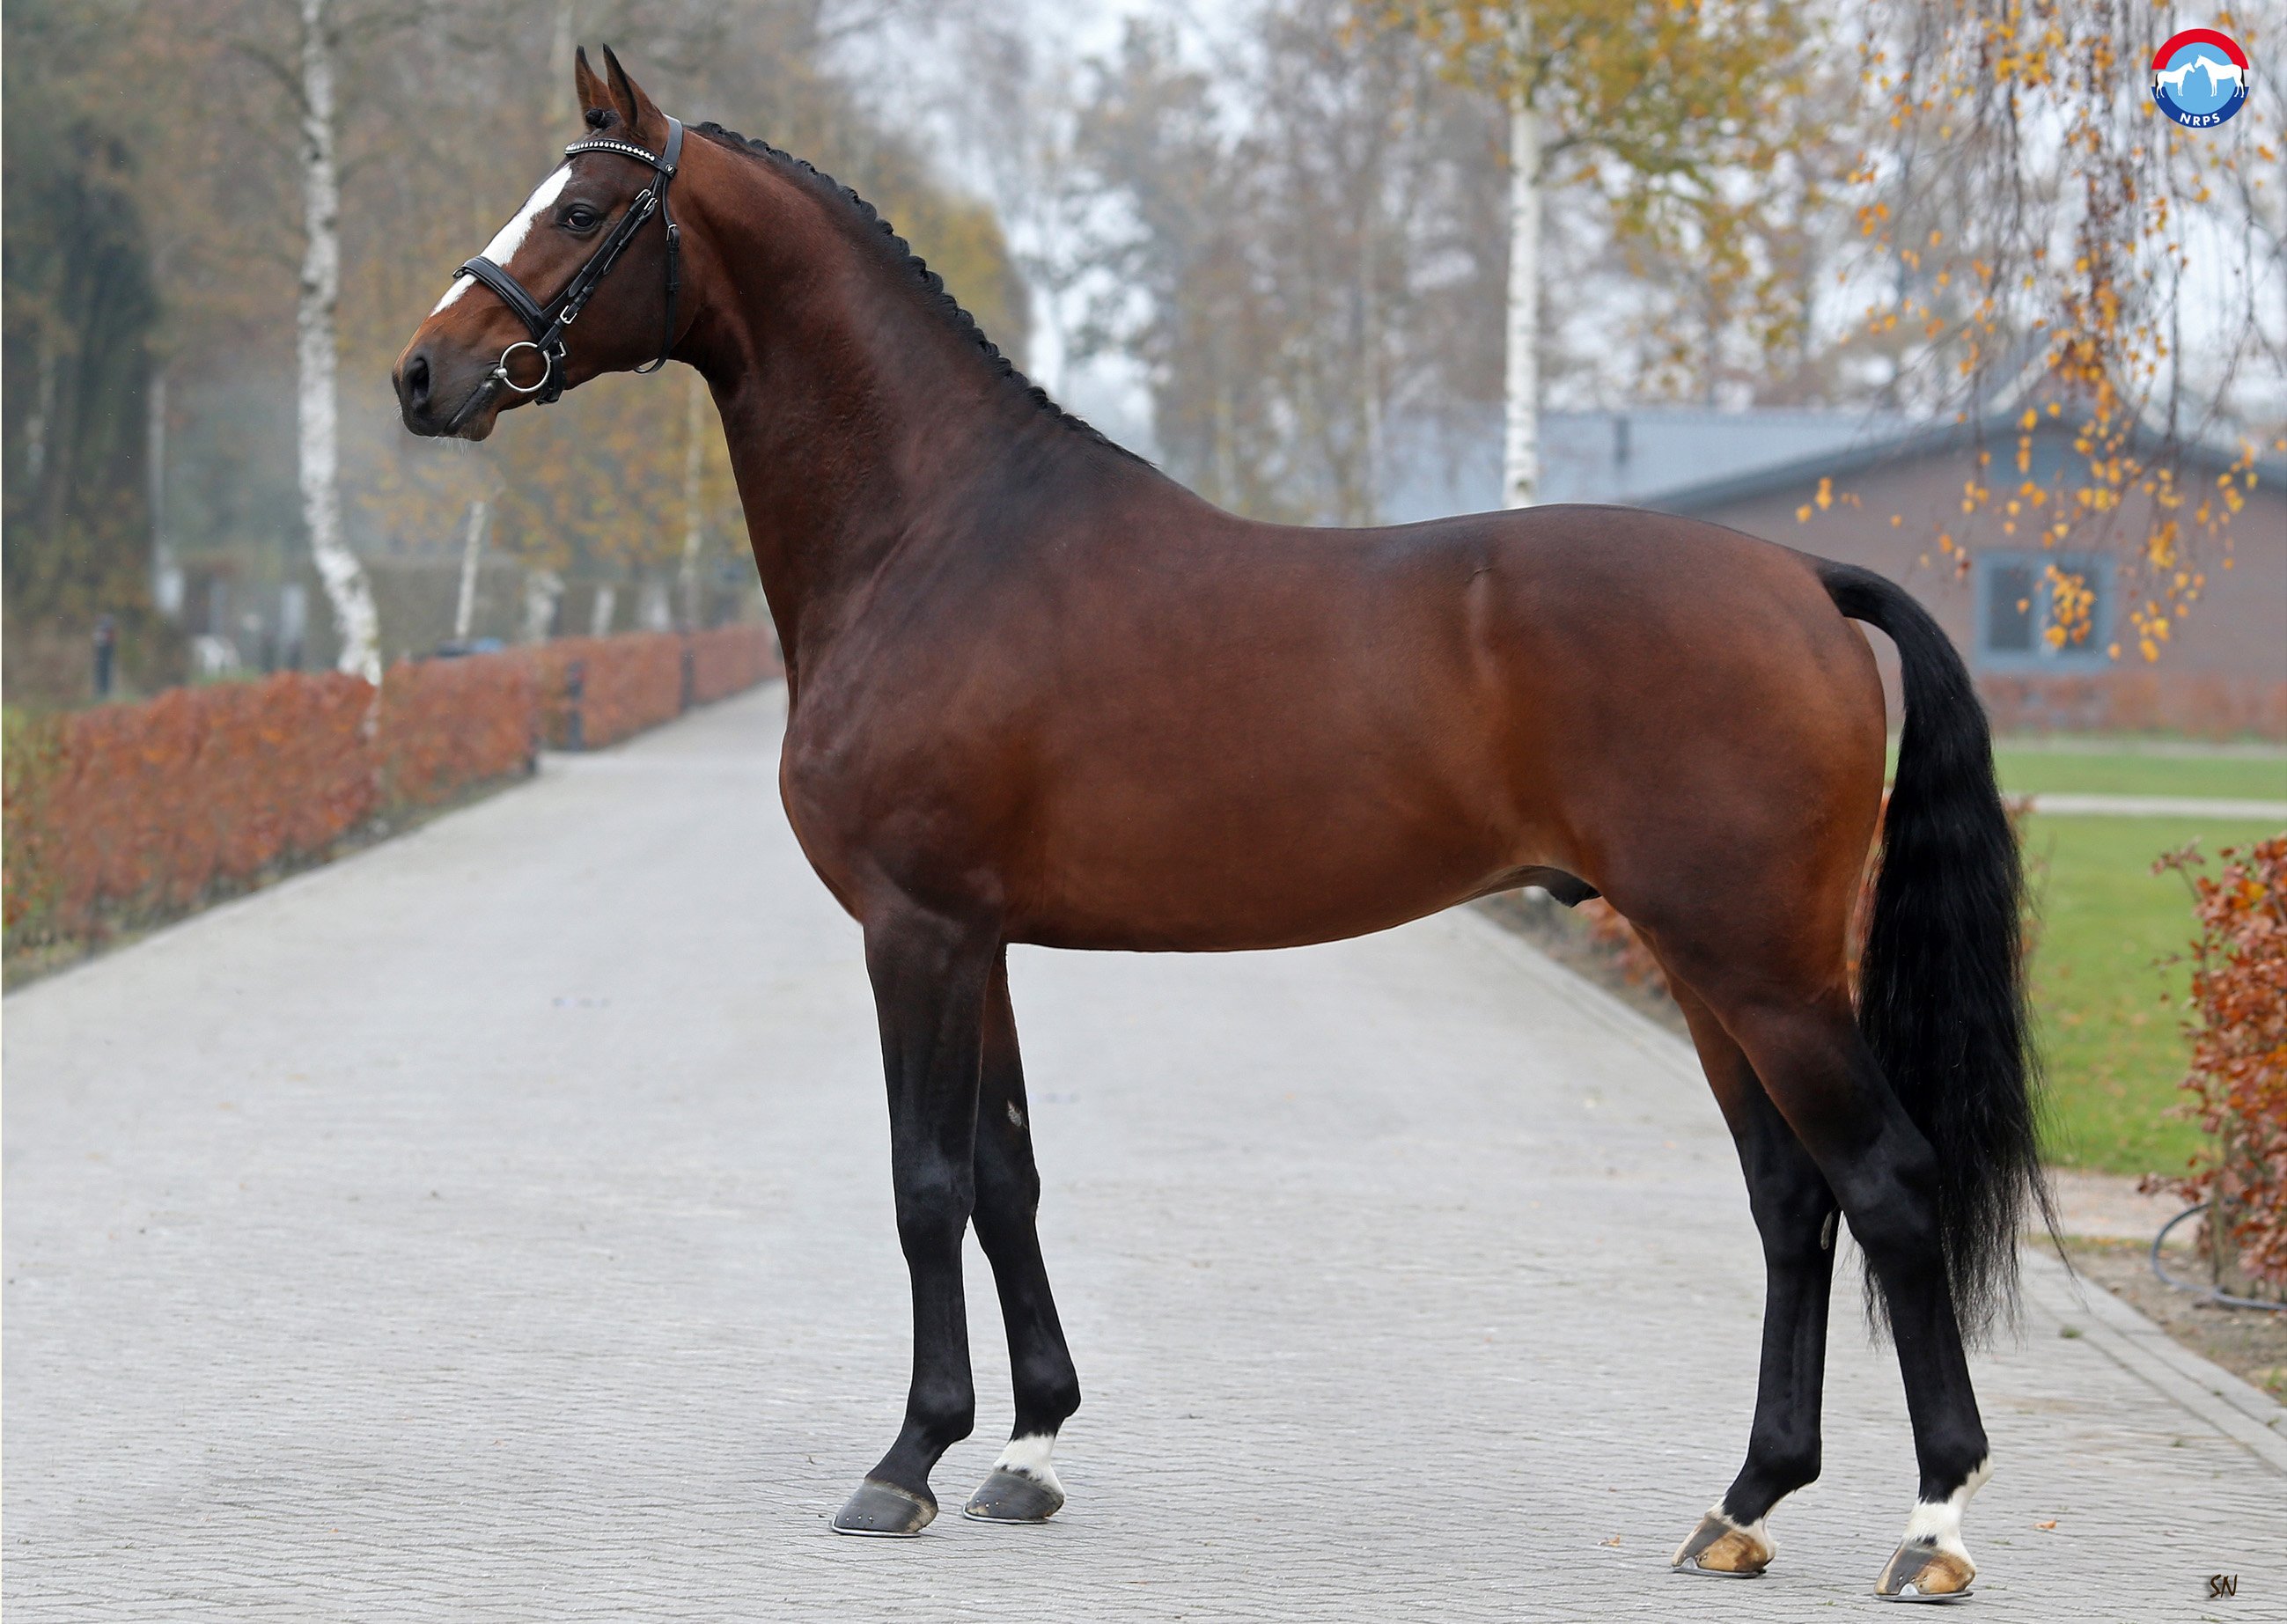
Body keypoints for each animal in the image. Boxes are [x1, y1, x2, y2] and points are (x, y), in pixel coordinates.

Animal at [393, 48, 2058, 1601]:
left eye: (584, 212)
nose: (423, 374)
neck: (937, 536)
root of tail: (1800, 581)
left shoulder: (912, 932)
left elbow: (924, 1186)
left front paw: (907, 1460)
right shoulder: (978, 940)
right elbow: (1004, 1178)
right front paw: (1028, 1453)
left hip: (1759, 969)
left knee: (1885, 1188)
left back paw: (1930, 1528)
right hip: (1713, 970)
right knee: (1790, 1204)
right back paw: (1740, 1506)